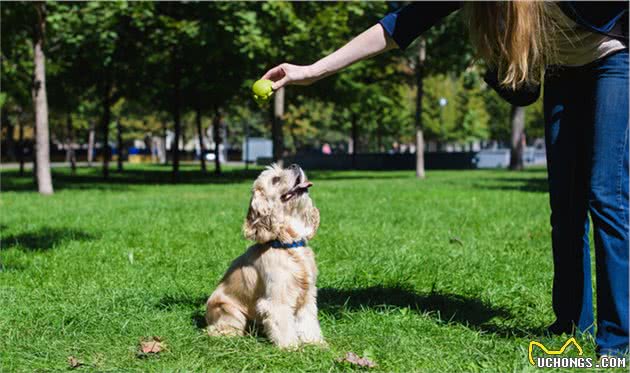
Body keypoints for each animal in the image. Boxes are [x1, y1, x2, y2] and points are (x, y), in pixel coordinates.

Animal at [207, 164, 326, 348]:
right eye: (275, 179)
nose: (294, 165)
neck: (287, 244)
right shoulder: (277, 300)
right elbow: (284, 326)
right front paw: (291, 348)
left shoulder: (307, 296)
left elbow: (308, 323)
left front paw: (317, 344)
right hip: (231, 311)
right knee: (216, 331)